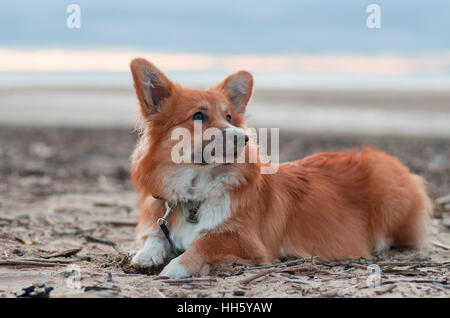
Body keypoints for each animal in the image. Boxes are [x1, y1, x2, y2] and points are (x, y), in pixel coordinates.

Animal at [127, 57, 432, 278]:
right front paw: (145, 255)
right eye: (199, 116)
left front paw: (175, 267)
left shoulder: (246, 240)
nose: (242, 137)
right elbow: (155, 236)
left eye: (229, 117)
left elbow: (204, 244)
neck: (196, 190)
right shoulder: (162, 217)